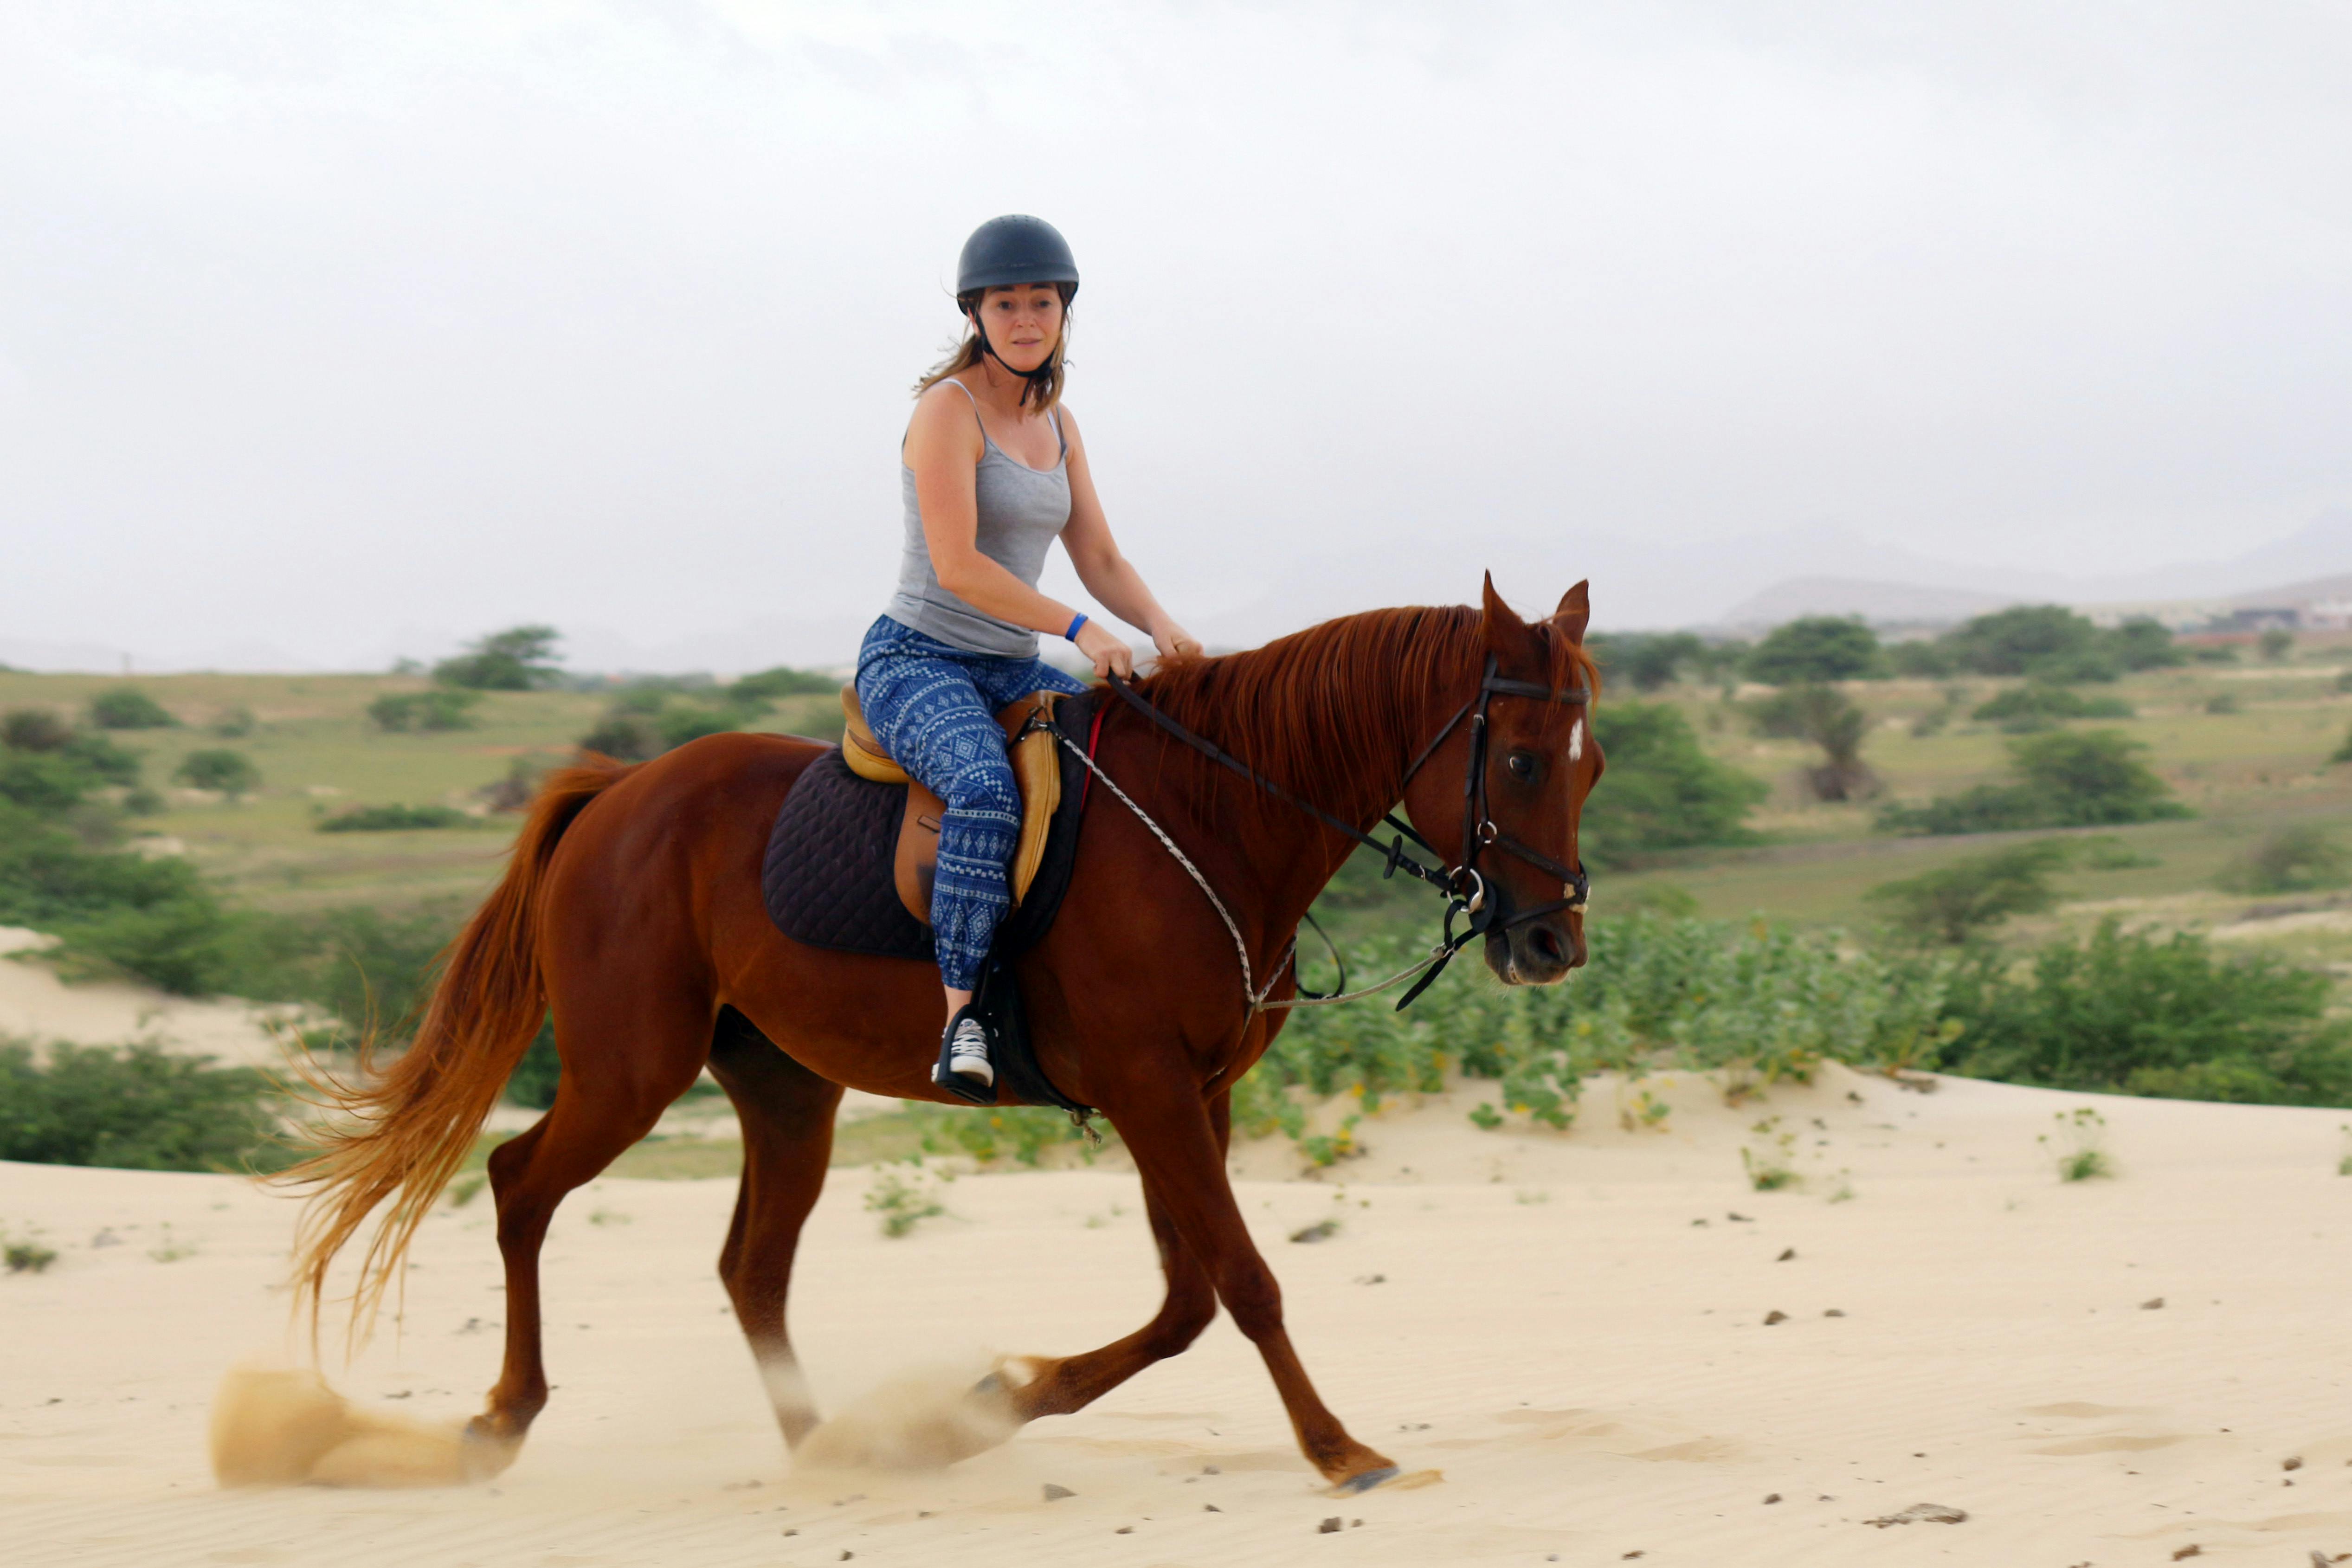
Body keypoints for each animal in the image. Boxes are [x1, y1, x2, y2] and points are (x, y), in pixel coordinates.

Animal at [280, 575, 1603, 1494]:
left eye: (1590, 766)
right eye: (1520, 760)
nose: (1551, 944)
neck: (1212, 818)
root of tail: (618, 790)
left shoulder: (1193, 1092)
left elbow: (1185, 1299)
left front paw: (988, 1402)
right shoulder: (1149, 1088)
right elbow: (1243, 1282)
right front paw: (1339, 1450)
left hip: (786, 1091)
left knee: (751, 1268)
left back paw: (835, 1447)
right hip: (629, 1071)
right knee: (519, 1184)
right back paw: (502, 1417)